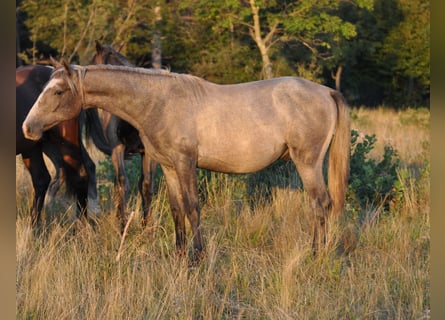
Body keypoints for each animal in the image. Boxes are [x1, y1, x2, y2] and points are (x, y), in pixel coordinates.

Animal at [85, 41, 158, 230]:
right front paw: (128, 223)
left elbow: (140, 185)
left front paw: (137, 224)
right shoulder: (122, 150)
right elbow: (127, 183)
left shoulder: (140, 152)